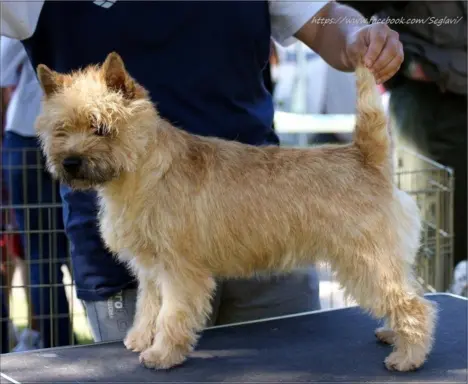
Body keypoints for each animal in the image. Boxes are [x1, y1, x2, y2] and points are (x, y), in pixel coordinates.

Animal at [35, 51, 436, 372]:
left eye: (101, 127)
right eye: (60, 130)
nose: (70, 162)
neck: (143, 171)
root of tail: (364, 156)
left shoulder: (180, 270)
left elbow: (171, 315)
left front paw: (162, 354)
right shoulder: (150, 269)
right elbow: (148, 307)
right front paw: (140, 338)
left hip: (368, 261)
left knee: (414, 304)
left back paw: (408, 356)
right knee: (409, 292)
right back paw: (393, 335)